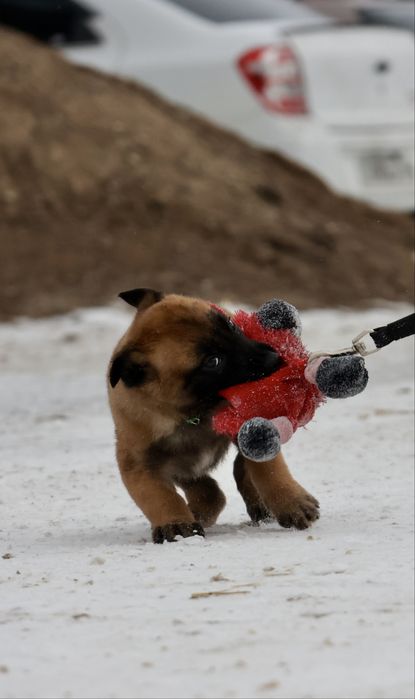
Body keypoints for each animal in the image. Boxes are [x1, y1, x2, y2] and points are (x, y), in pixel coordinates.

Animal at [108, 288, 319, 543]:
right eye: (213, 361)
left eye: (232, 326)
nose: (275, 358)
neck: (193, 415)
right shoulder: (138, 463)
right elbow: (158, 496)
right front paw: (176, 523)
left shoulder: (249, 427)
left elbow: (266, 468)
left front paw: (291, 502)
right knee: (206, 487)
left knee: (239, 469)